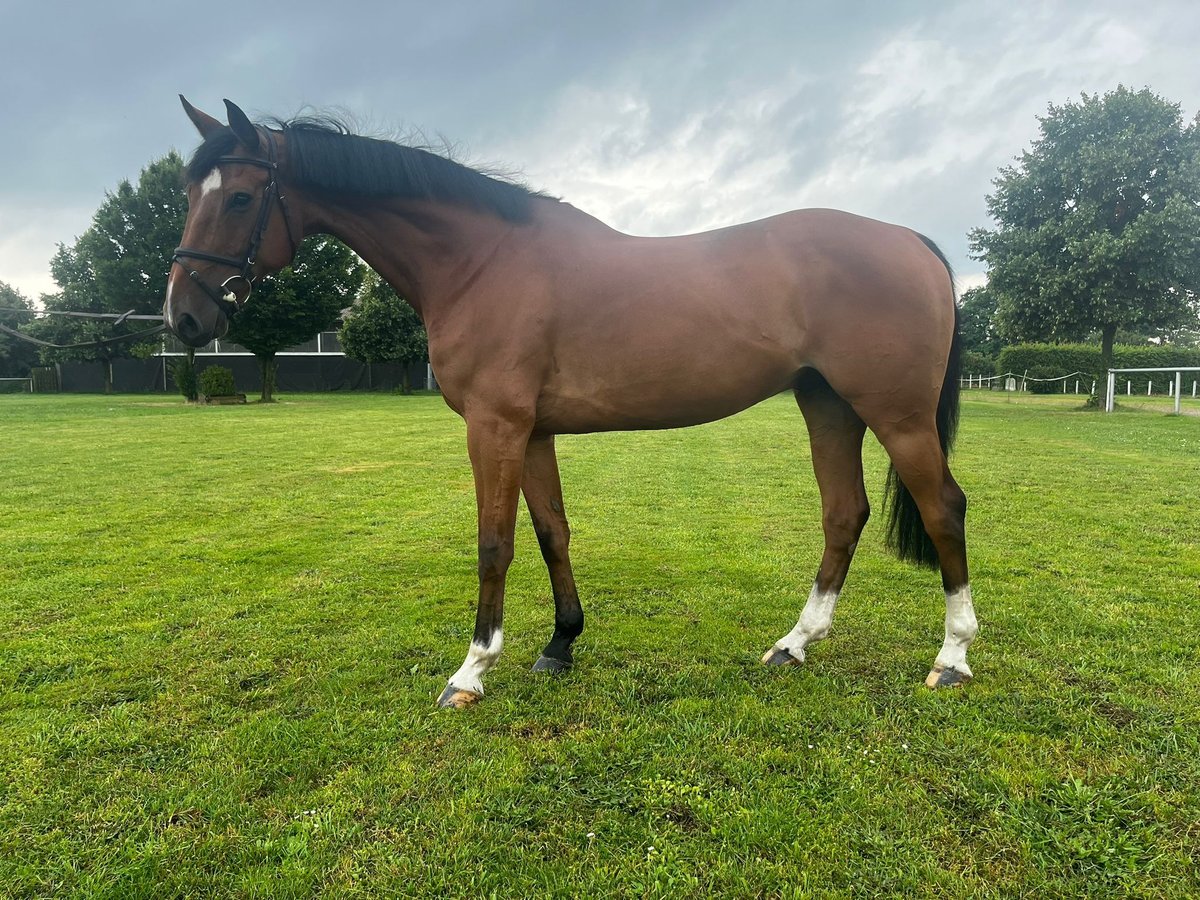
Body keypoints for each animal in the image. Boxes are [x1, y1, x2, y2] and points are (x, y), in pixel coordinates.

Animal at [166, 98, 974, 710]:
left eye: (240, 196)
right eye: (187, 196)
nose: (185, 319)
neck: (481, 262)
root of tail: (911, 240)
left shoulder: (494, 427)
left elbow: (494, 543)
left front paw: (470, 671)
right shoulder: (532, 432)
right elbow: (552, 532)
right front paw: (561, 644)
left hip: (896, 416)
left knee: (944, 509)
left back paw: (952, 658)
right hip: (828, 405)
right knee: (844, 514)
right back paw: (794, 644)